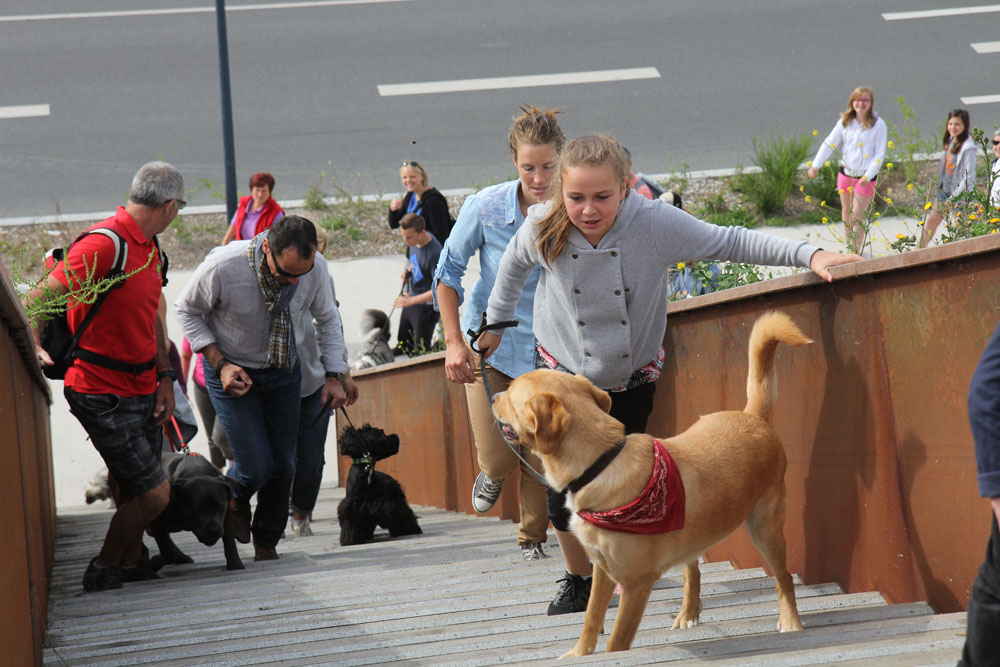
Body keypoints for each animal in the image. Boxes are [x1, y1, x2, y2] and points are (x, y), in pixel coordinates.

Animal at [492, 311, 808, 656]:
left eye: (511, 393)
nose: (492, 396)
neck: (601, 461)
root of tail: (753, 417)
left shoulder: (635, 583)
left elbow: (617, 640)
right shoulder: (602, 569)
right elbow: (591, 618)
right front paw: (579, 653)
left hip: (765, 528)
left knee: (784, 577)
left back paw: (791, 621)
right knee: (692, 571)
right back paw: (688, 613)